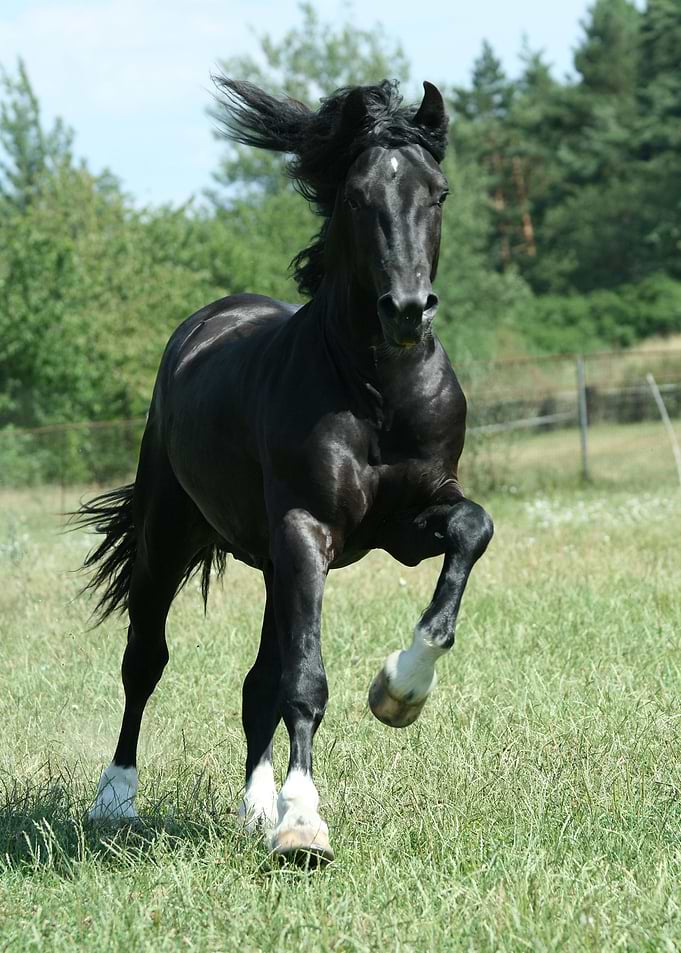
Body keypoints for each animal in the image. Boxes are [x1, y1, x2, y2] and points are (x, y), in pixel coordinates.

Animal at [75, 77, 494, 865]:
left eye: (438, 193)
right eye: (357, 196)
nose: (406, 310)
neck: (376, 391)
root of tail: (207, 321)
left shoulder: (406, 522)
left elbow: (472, 532)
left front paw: (399, 691)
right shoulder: (307, 531)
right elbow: (305, 679)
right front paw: (304, 824)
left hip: (274, 564)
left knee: (254, 683)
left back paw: (253, 808)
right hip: (169, 539)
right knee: (144, 661)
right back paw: (115, 799)